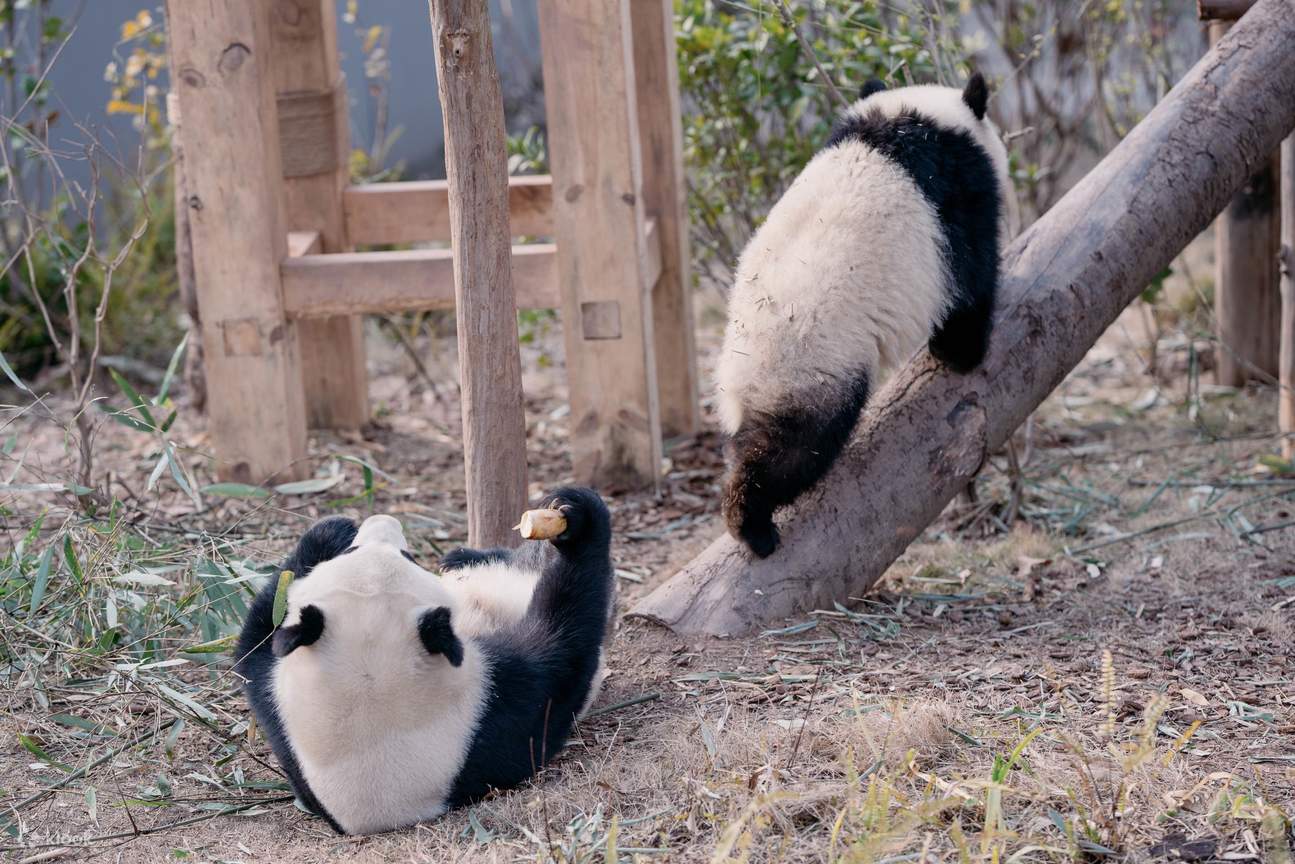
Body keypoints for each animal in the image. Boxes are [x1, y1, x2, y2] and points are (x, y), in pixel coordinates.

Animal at [234, 486, 613, 836]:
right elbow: (563, 654)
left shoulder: (276, 708)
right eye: (409, 556)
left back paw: (466, 554)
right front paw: (582, 525)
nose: (383, 520)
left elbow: (256, 645)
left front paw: (334, 529)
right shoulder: (490, 714)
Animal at [716, 74, 1013, 558]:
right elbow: (970, 282)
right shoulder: (959, 198)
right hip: (813, 363)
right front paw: (962, 352)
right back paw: (752, 524)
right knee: (794, 450)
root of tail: (738, 380)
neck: (911, 115)